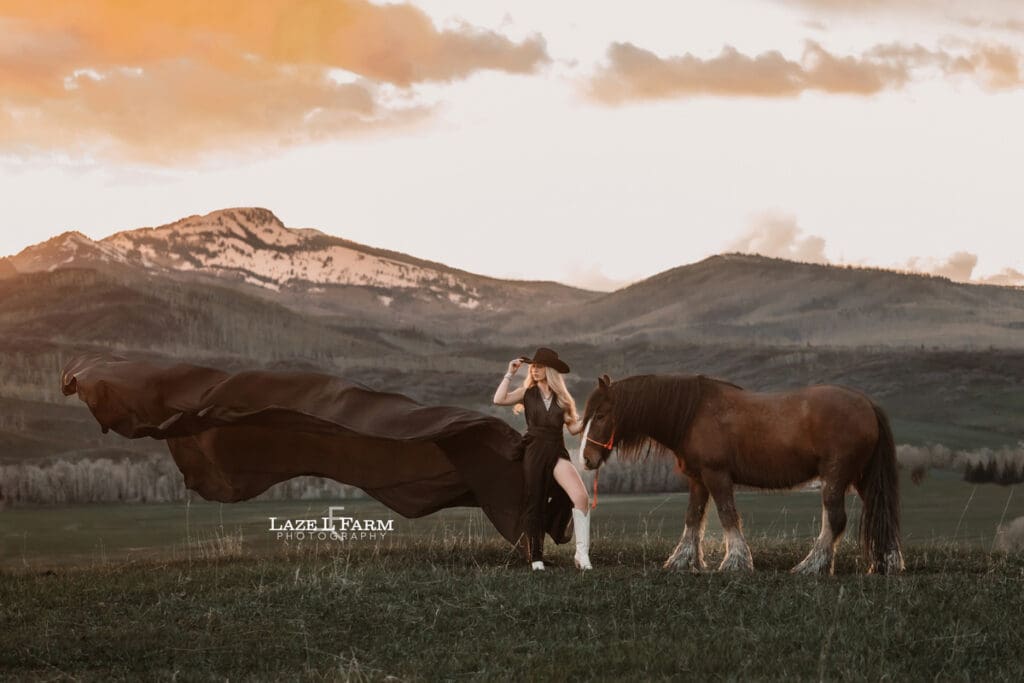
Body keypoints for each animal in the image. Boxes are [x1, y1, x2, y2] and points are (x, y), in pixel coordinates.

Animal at [579, 373, 904, 575]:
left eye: (601, 415)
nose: (586, 458)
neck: (693, 413)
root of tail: (867, 404)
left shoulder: (717, 475)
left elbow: (727, 516)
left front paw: (736, 561)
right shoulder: (698, 479)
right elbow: (693, 519)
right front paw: (682, 560)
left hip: (835, 477)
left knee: (834, 520)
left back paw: (811, 566)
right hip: (863, 478)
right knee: (880, 513)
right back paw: (887, 562)